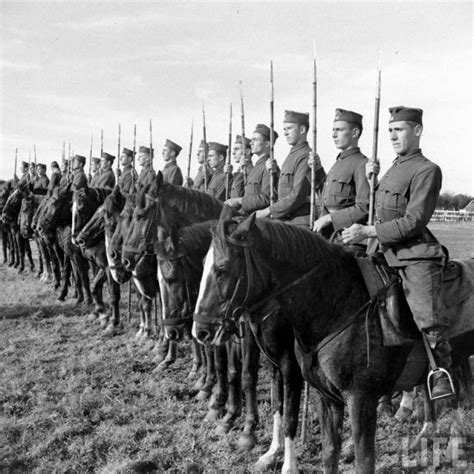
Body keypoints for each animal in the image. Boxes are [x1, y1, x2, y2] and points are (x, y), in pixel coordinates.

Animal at [193, 214, 474, 474]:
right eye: (203, 265)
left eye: (223, 268)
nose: (200, 330)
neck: (337, 306)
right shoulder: (321, 394)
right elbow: (321, 445)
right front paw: (271, 454)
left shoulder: (356, 399)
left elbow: (301, 422)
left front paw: (287, 465)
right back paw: (437, 441)